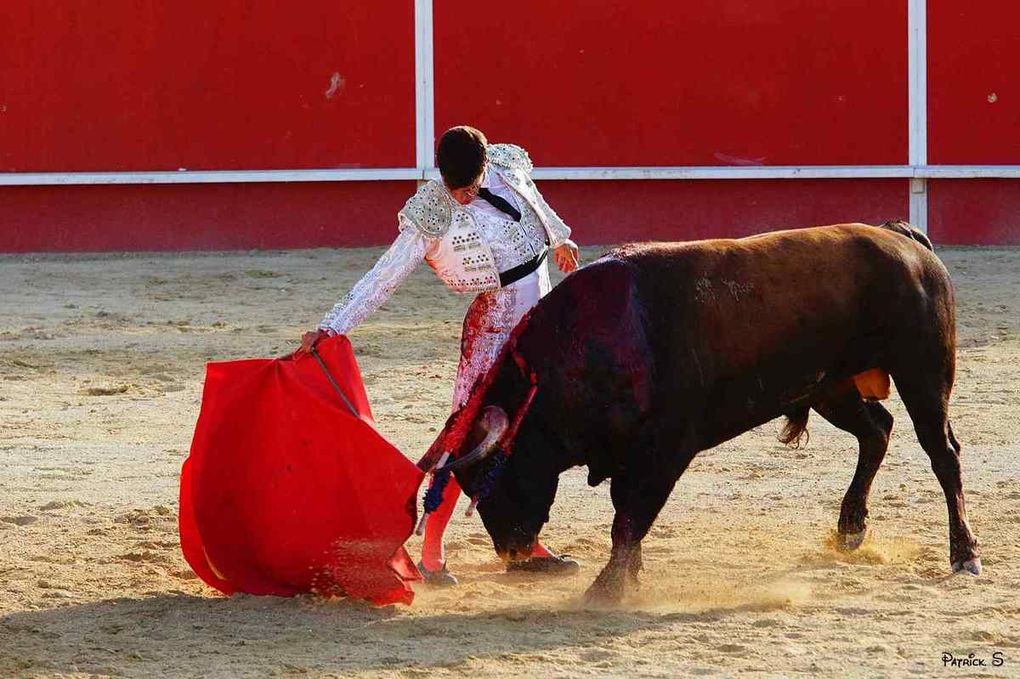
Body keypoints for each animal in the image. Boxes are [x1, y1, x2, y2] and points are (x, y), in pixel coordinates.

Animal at [416, 222, 979, 603]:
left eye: (495, 474)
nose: (512, 550)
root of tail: (904, 240)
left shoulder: (664, 450)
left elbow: (629, 517)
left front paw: (608, 587)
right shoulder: (632, 456)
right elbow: (627, 517)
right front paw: (628, 577)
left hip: (923, 373)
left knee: (943, 454)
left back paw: (964, 555)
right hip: (830, 386)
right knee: (877, 432)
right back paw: (850, 529)